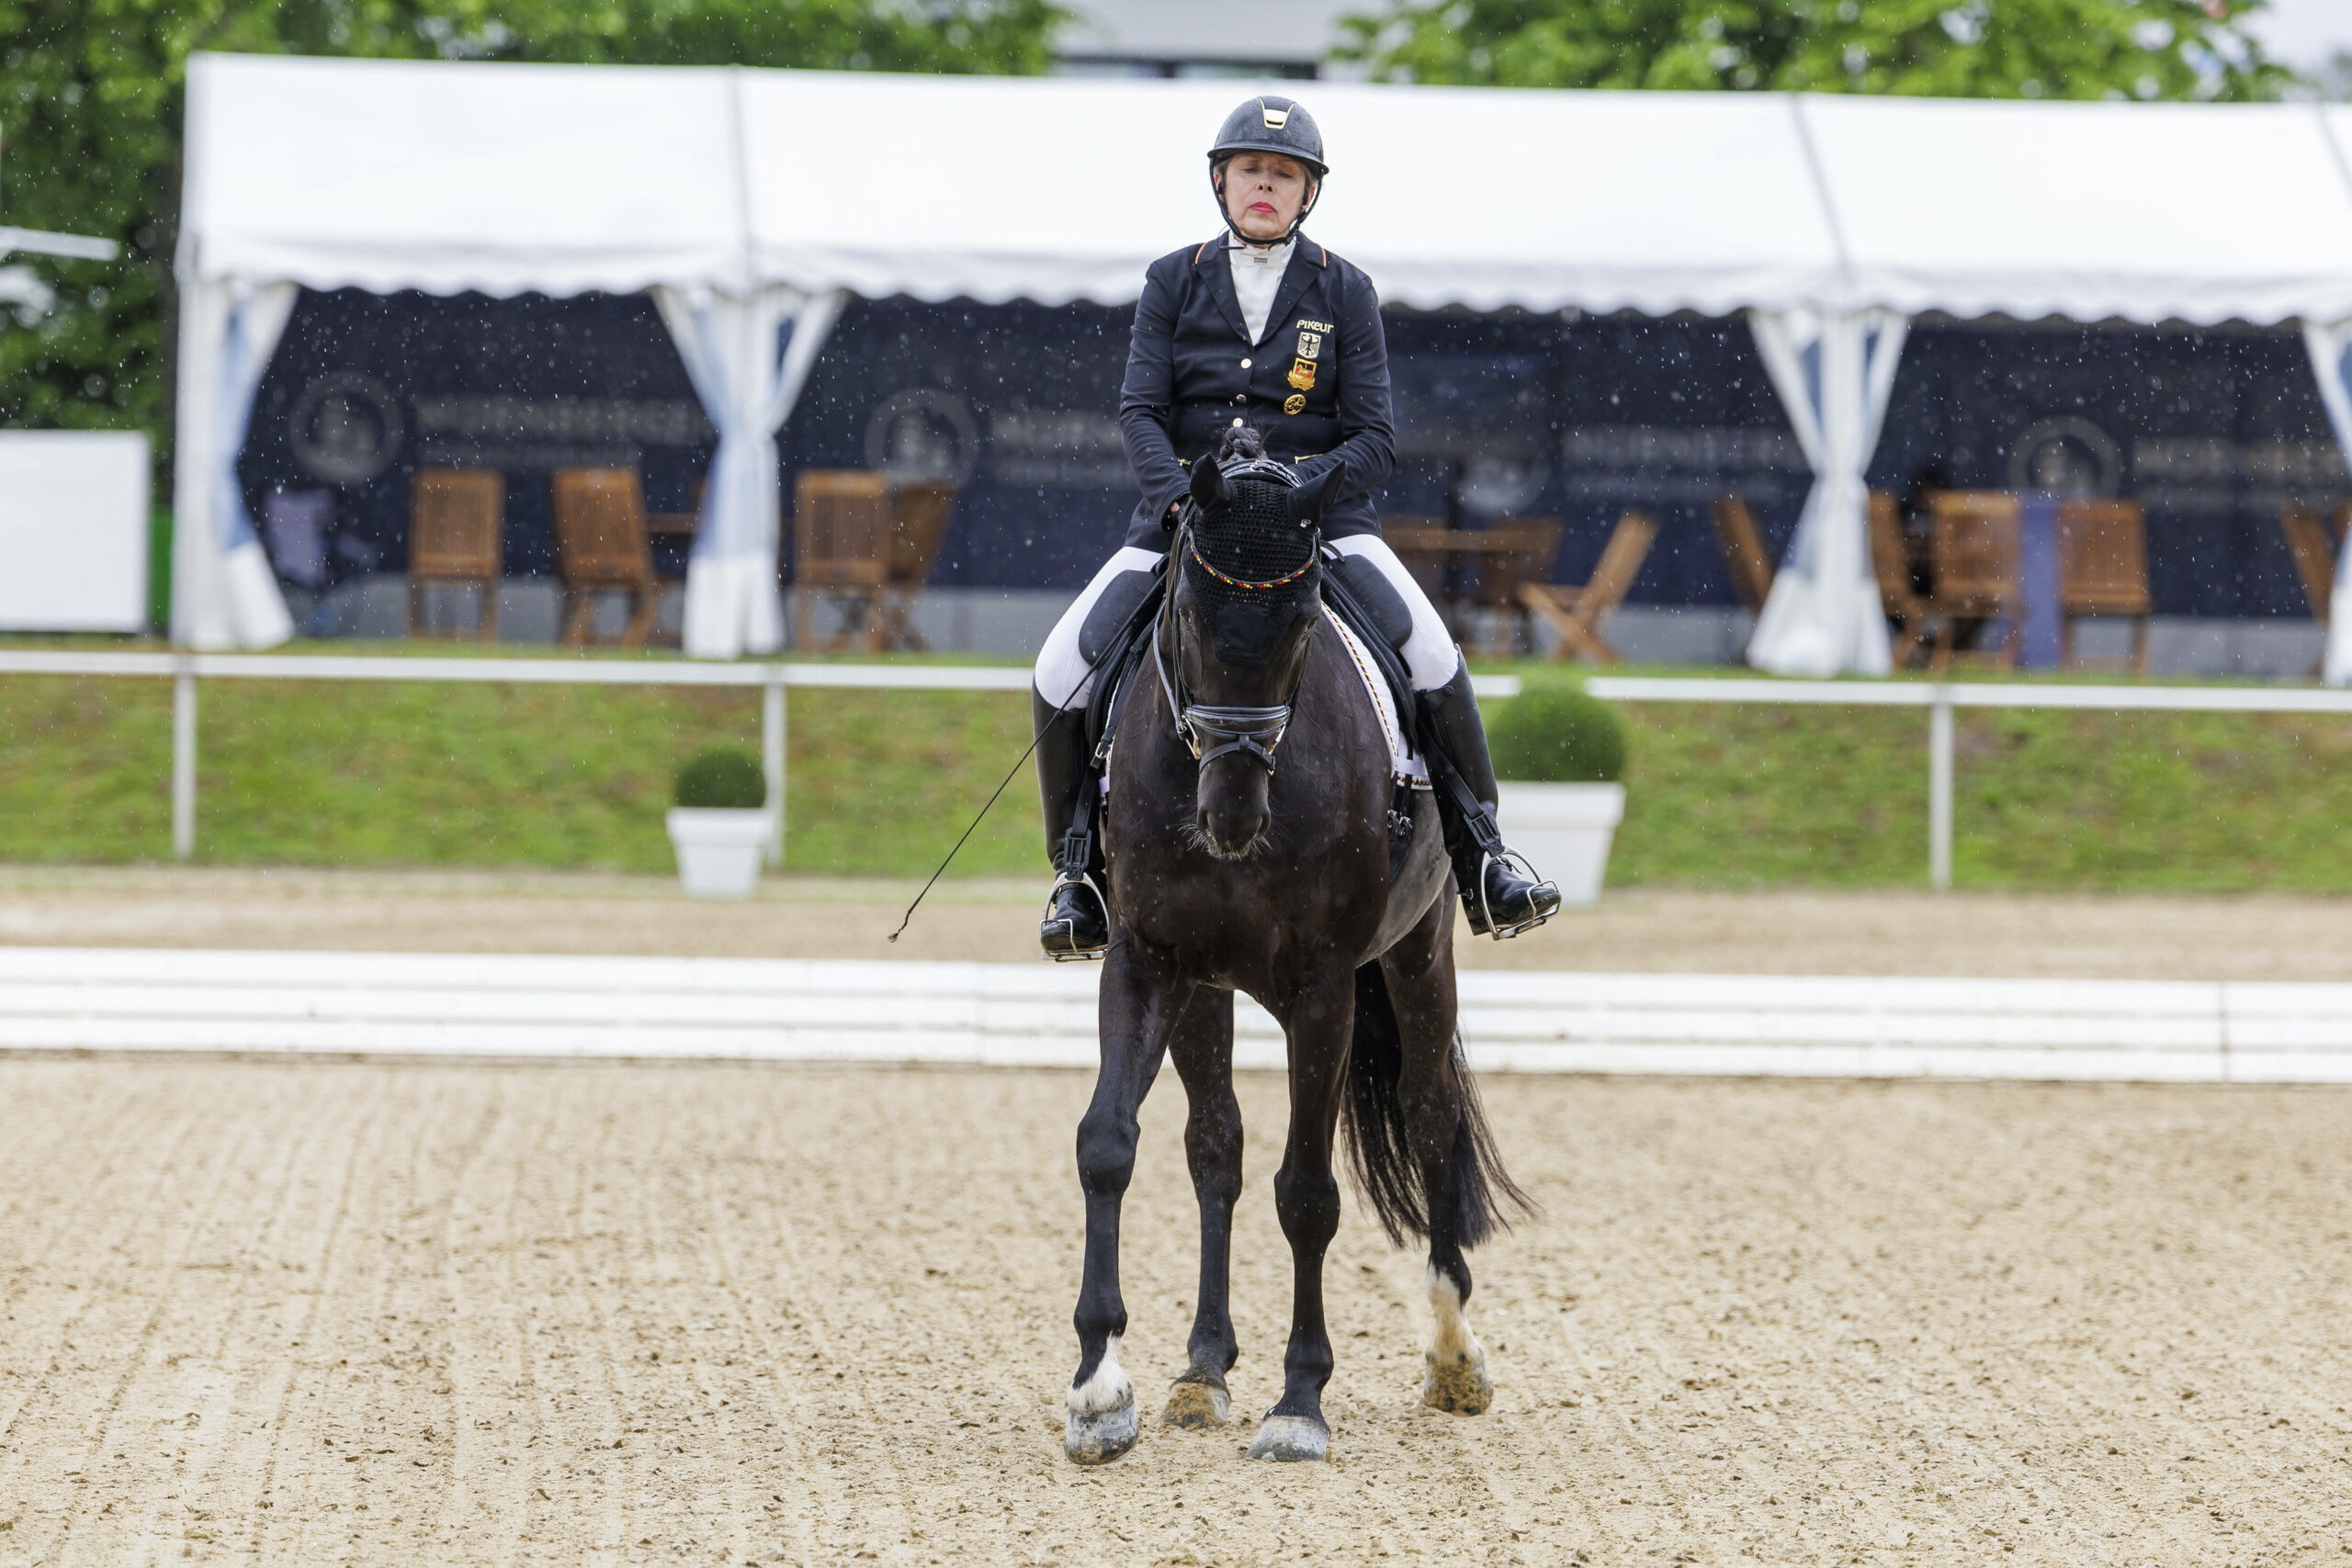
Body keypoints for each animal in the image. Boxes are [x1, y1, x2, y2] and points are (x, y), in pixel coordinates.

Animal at [1063, 434, 1523, 1466]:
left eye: (1305, 622)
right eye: (1187, 615)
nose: (1231, 818)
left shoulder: (1322, 989)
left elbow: (1309, 1191)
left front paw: (1300, 1401)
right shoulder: (1145, 961)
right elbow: (1109, 1143)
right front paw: (1099, 1388)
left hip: (1418, 953)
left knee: (1429, 1112)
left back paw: (1453, 1355)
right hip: (1207, 989)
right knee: (1215, 1147)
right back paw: (1201, 1371)